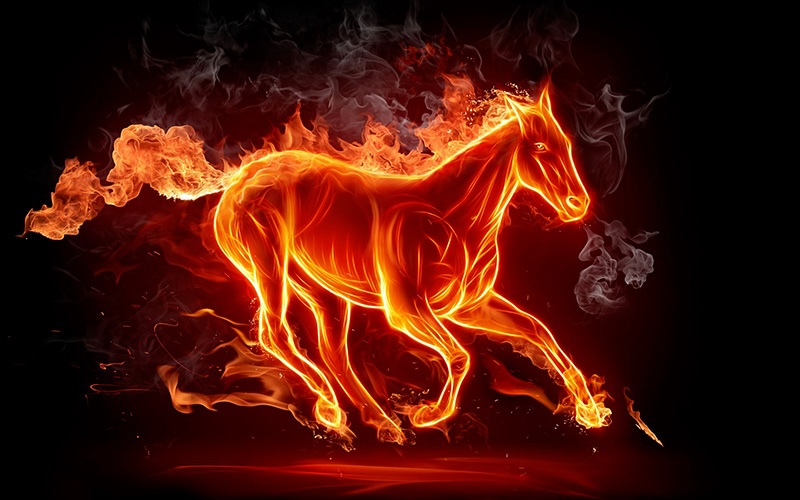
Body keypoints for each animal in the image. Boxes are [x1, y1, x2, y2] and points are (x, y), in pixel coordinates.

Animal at [211, 85, 611, 445]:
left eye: (566, 144)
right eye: (540, 147)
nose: (578, 204)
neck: (453, 216)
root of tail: (239, 181)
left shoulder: (469, 307)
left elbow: (538, 331)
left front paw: (590, 412)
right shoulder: (405, 309)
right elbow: (461, 356)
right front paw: (429, 414)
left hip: (321, 288)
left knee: (332, 351)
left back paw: (383, 424)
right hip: (269, 269)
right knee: (275, 334)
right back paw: (332, 409)